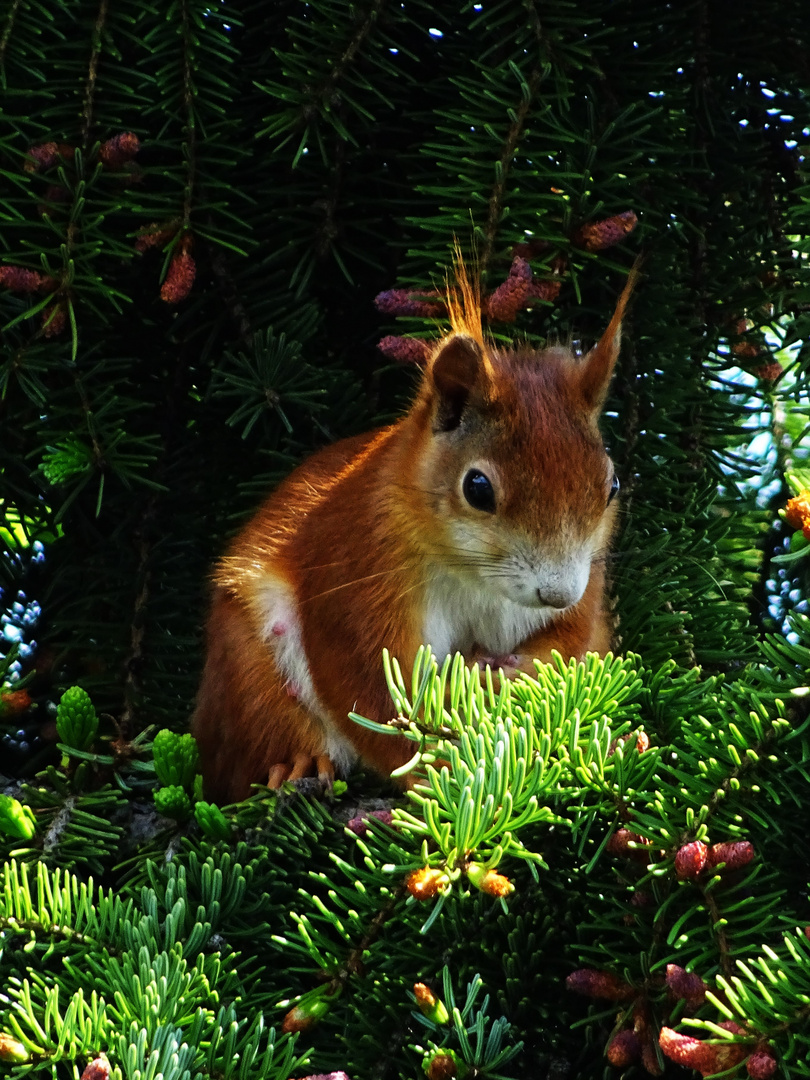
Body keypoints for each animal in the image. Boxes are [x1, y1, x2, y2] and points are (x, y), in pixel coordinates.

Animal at [193, 264, 639, 799]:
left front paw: (510, 674)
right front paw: (439, 770)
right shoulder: (359, 567)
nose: (556, 593)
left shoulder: (590, 588)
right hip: (249, 675)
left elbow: (567, 641)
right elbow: (371, 692)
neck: (475, 578)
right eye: (477, 488)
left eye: (612, 484)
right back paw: (298, 763)